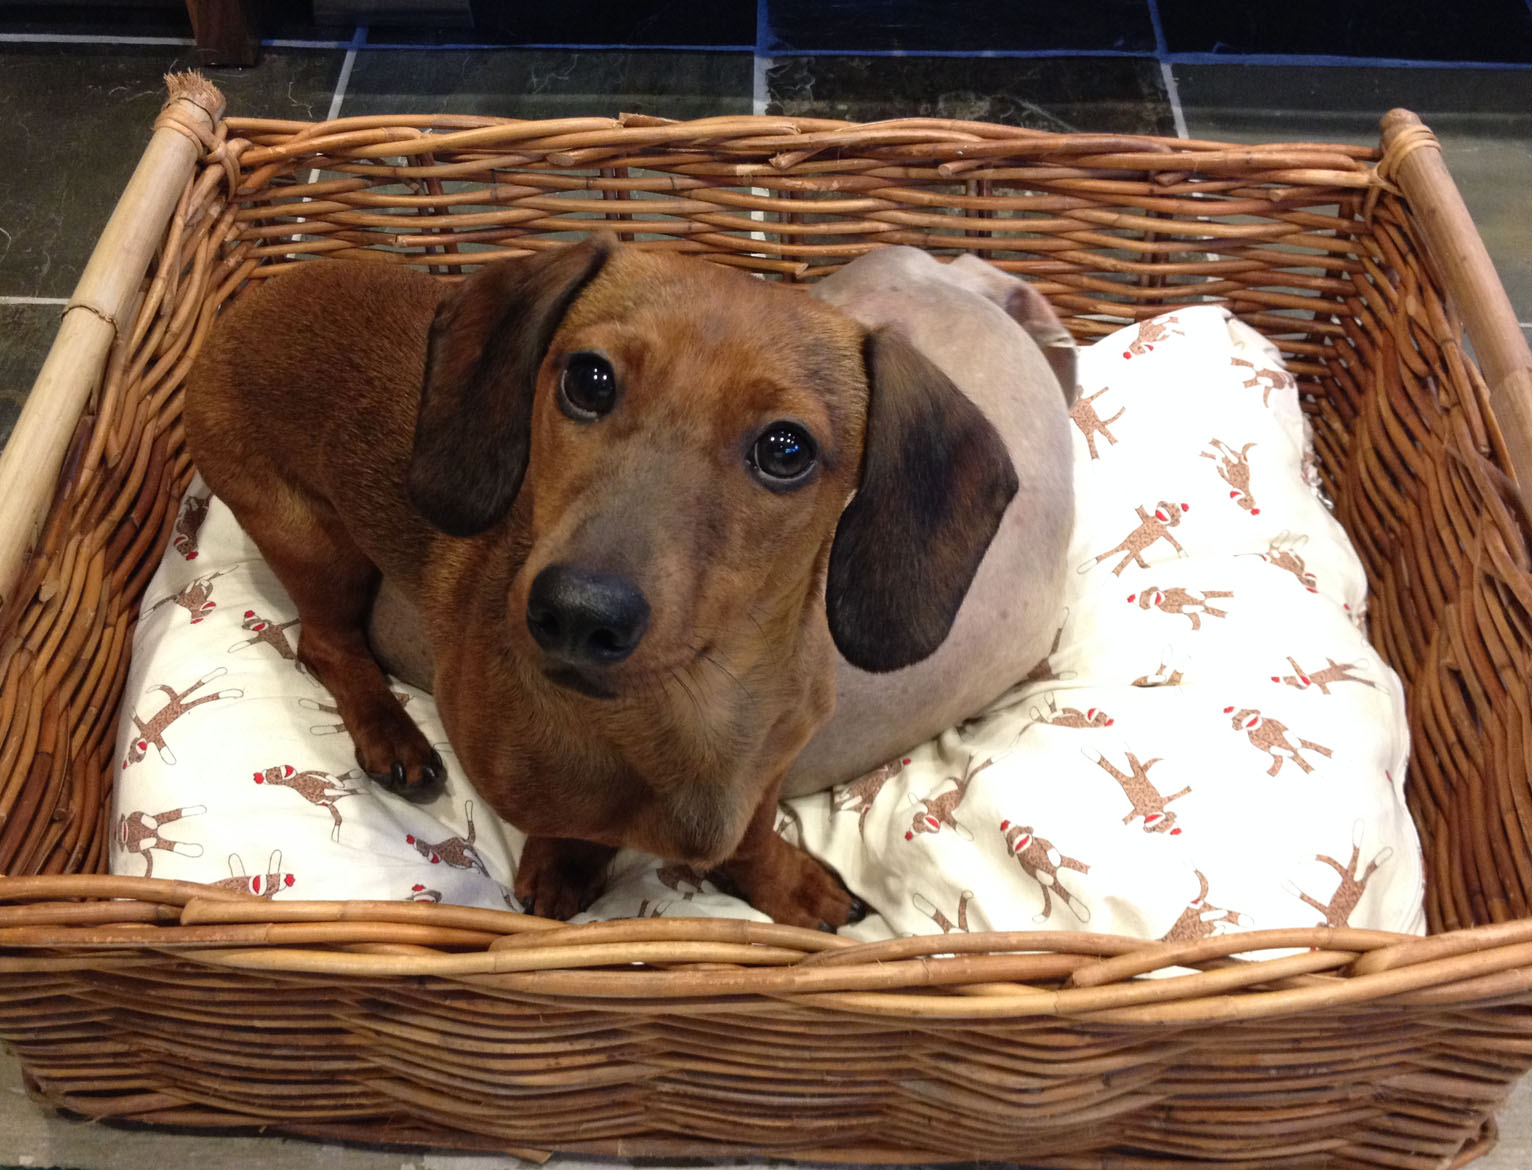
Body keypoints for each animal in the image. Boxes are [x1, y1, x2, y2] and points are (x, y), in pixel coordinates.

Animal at [185, 240, 1023, 931]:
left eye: (786, 450)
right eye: (589, 379)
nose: (576, 615)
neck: (688, 711)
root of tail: (249, 304)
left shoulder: (769, 773)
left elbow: (750, 837)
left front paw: (786, 884)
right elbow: (566, 824)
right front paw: (564, 867)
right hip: (310, 539)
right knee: (325, 644)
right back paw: (391, 733)